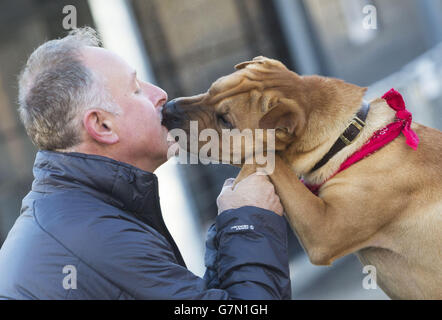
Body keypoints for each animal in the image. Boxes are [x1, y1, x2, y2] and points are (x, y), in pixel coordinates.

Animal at [162, 56, 442, 298]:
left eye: (225, 120)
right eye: (211, 89)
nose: (167, 109)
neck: (348, 141)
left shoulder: (324, 230)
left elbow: (266, 157)